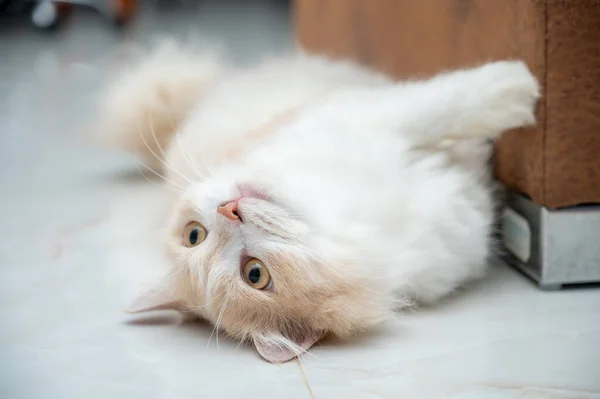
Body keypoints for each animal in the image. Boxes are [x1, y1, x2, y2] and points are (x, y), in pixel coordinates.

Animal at [98, 42, 540, 364]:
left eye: (194, 234)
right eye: (255, 275)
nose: (229, 208)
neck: (337, 215)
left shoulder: (364, 117)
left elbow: (441, 106)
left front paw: (512, 89)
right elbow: (456, 102)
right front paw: (521, 86)